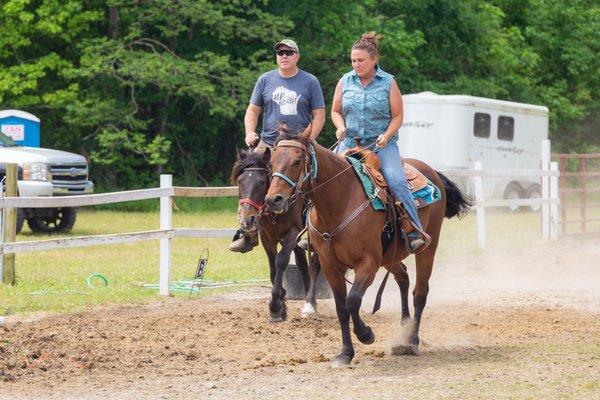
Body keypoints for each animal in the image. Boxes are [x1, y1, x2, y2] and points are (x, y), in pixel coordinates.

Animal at [231, 148, 324, 322]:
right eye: (240, 181)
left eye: (262, 181)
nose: (247, 219)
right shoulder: (267, 237)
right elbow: (273, 268)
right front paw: (280, 305)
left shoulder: (293, 232)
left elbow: (281, 261)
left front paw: (275, 305)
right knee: (302, 263)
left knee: (315, 263)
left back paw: (310, 302)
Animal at [264, 130, 472, 366]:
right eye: (271, 163)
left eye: (297, 161)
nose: (273, 200)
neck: (340, 202)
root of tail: (432, 173)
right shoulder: (330, 266)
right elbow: (341, 308)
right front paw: (345, 353)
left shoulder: (368, 263)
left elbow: (353, 301)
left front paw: (366, 334)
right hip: (390, 255)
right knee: (403, 277)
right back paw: (405, 325)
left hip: (428, 247)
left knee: (420, 292)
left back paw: (411, 341)